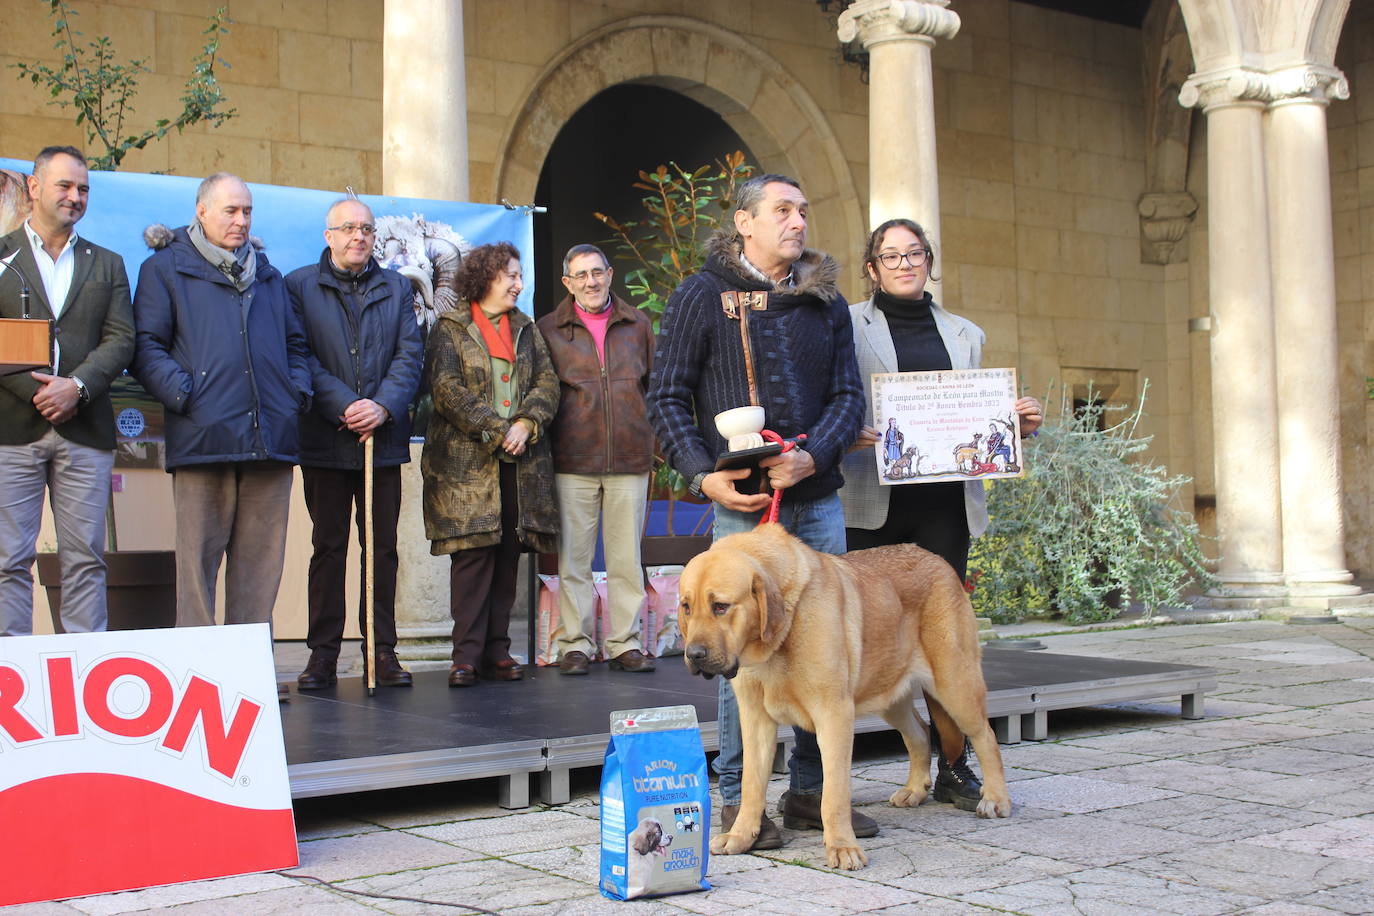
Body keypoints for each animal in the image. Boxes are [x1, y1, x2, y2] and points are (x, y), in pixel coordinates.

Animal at [676, 521, 1011, 867]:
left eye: (721, 606)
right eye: (686, 607)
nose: (694, 654)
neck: (781, 635)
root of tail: (938, 560)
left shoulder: (834, 715)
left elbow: (833, 794)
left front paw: (842, 846)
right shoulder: (755, 720)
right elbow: (751, 787)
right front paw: (742, 837)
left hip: (955, 685)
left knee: (985, 737)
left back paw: (995, 799)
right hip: (889, 694)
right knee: (919, 733)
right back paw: (915, 790)